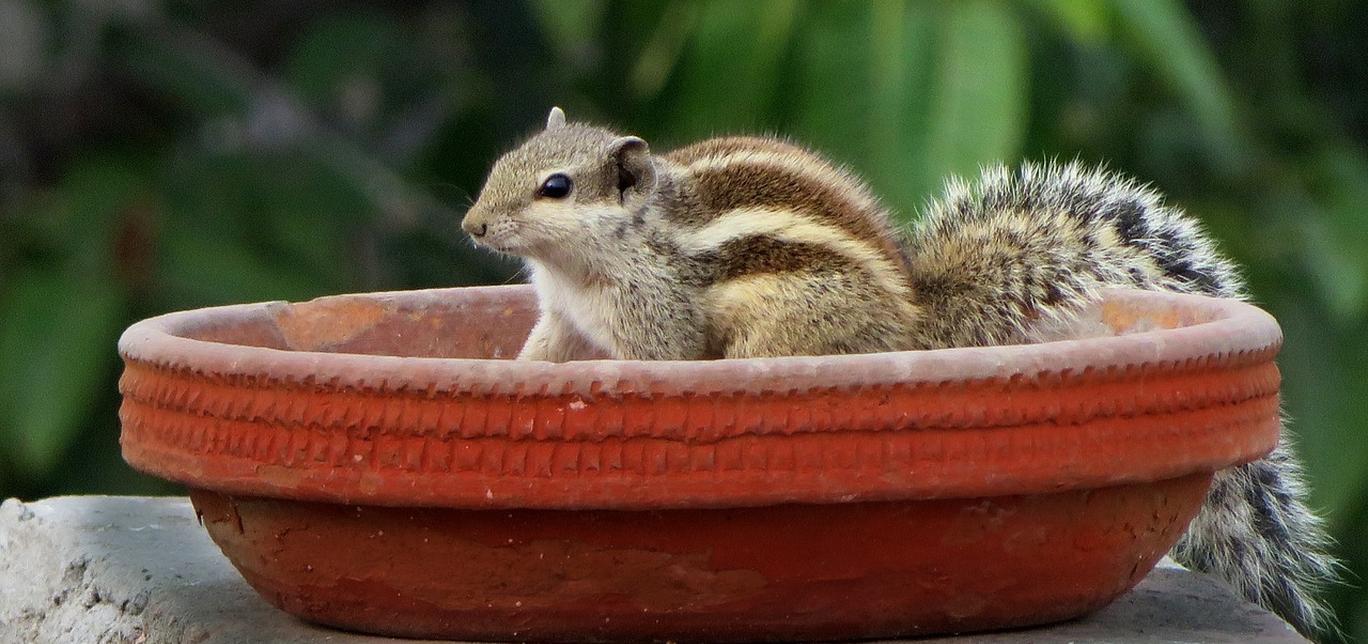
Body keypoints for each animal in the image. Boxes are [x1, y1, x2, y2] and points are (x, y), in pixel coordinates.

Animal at [459, 107, 1335, 639]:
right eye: (502, 160)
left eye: (555, 187)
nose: (470, 225)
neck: (596, 258)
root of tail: (914, 321)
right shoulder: (562, 316)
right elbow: (540, 355)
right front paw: (511, 379)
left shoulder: (657, 314)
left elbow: (661, 362)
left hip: (784, 328)